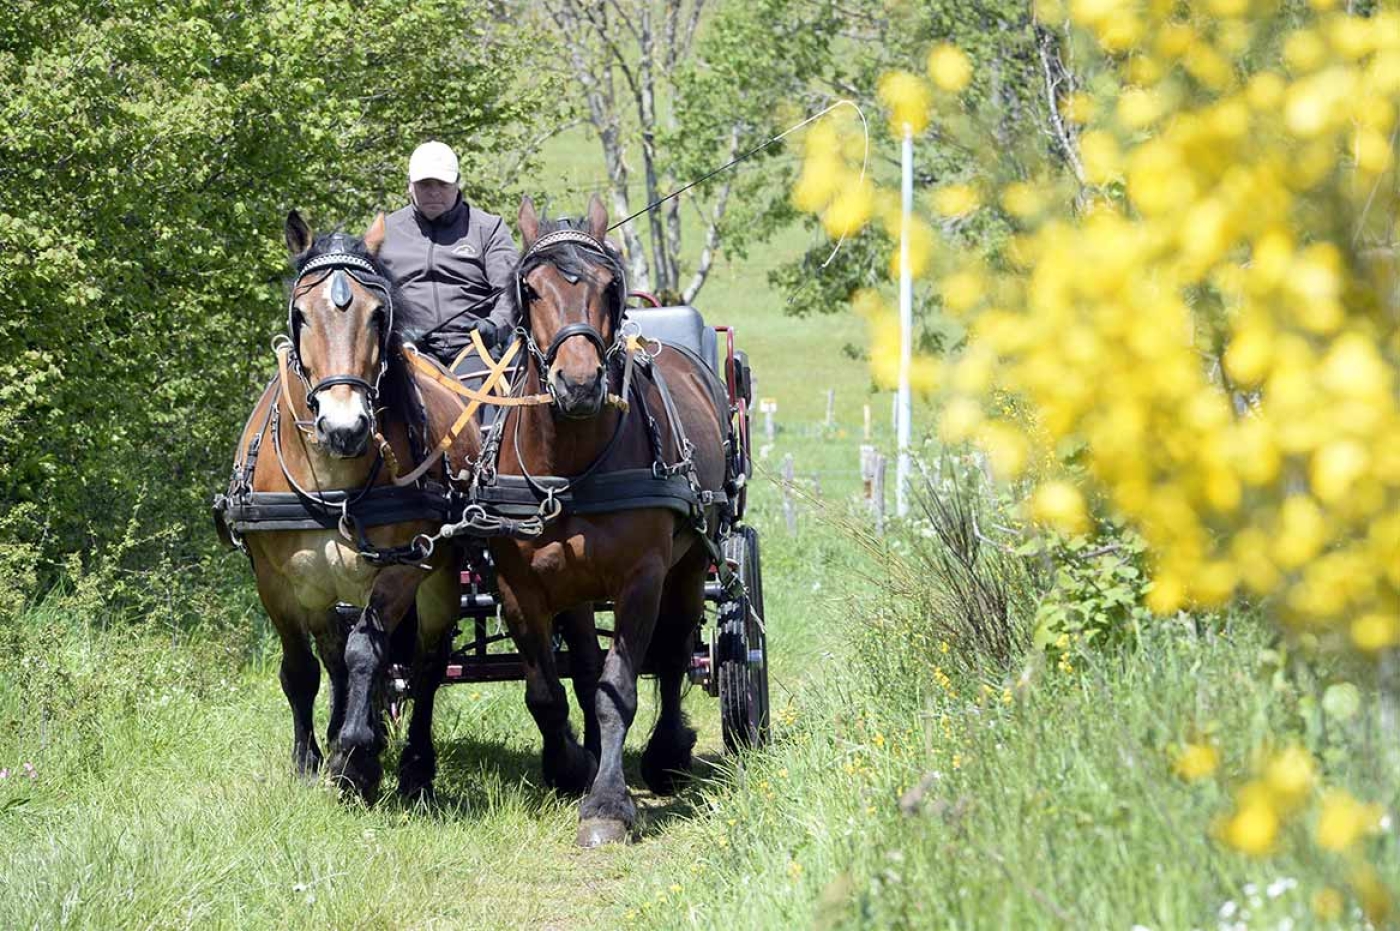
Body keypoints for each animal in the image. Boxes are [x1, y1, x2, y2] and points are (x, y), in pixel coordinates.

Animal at [217, 210, 481, 800]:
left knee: (426, 665)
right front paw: (311, 759)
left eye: (379, 314)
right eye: (300, 314)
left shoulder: (403, 569)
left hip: (439, 580)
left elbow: (368, 654)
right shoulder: (279, 583)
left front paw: (355, 759)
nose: (345, 426)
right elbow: (303, 670)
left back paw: (413, 767)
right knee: (336, 658)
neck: (334, 483)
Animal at [484, 194, 728, 840]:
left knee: (674, 653)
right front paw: (570, 766)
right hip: (573, 587)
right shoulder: (519, 587)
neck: (569, 468)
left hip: (690, 562)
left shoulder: (640, 579)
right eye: (530, 289)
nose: (579, 384)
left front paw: (608, 803)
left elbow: (619, 688)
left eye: (610, 285)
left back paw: (666, 755)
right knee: (586, 664)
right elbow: (548, 691)